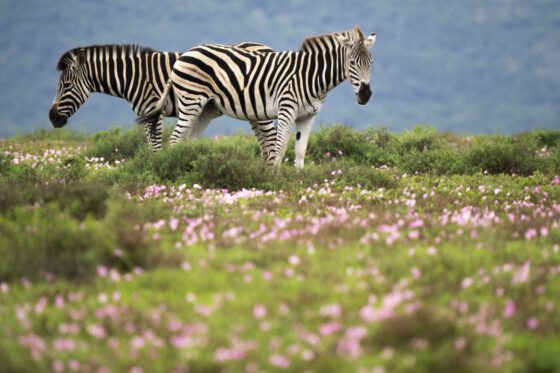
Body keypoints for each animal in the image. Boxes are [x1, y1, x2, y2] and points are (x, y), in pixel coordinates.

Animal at [49, 43, 276, 154]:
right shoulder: (145, 113)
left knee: (271, 137)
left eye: (66, 86)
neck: (134, 76)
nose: (52, 118)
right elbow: (151, 146)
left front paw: (157, 168)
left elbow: (156, 146)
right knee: (265, 140)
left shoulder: (153, 110)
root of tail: (266, 48)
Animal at [140, 27, 376, 169]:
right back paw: (176, 169)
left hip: (205, 108)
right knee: (175, 139)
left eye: (371, 63)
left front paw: (299, 182)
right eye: (352, 63)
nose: (365, 95)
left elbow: (300, 152)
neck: (311, 75)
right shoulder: (286, 109)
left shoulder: (308, 116)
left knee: (187, 140)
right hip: (191, 101)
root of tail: (186, 54)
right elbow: (279, 149)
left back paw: (189, 167)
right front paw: (275, 181)